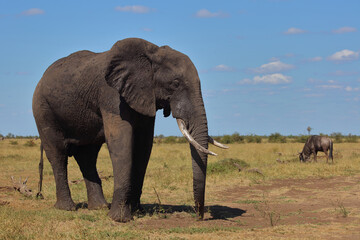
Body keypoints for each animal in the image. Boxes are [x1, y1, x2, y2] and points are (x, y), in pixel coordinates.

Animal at [32, 38, 226, 222]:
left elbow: (144, 145)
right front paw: (120, 219)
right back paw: (67, 208)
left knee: (87, 156)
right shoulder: (111, 95)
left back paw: (99, 207)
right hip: (43, 110)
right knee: (58, 154)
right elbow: (121, 142)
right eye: (176, 83)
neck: (152, 54)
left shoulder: (145, 96)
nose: (199, 217)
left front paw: (137, 211)